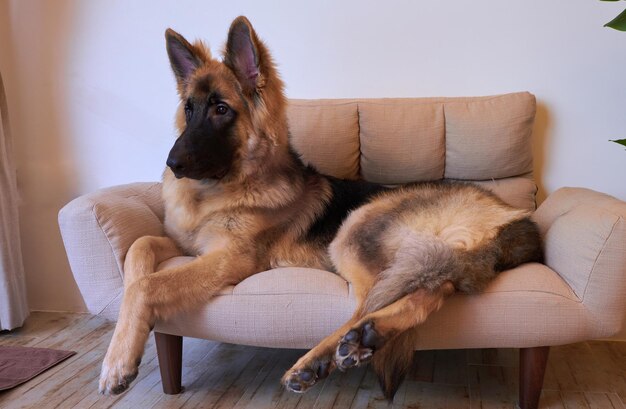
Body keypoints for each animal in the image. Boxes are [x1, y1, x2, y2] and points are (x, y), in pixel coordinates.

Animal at [97, 16, 540, 398]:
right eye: (189, 109)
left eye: (221, 109)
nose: (172, 164)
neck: (222, 190)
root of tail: (512, 217)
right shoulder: (187, 247)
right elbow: (138, 252)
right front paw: (124, 338)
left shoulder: (230, 259)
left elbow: (148, 285)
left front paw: (116, 365)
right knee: (432, 290)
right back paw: (366, 339)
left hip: (353, 230)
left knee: (368, 305)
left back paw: (323, 357)